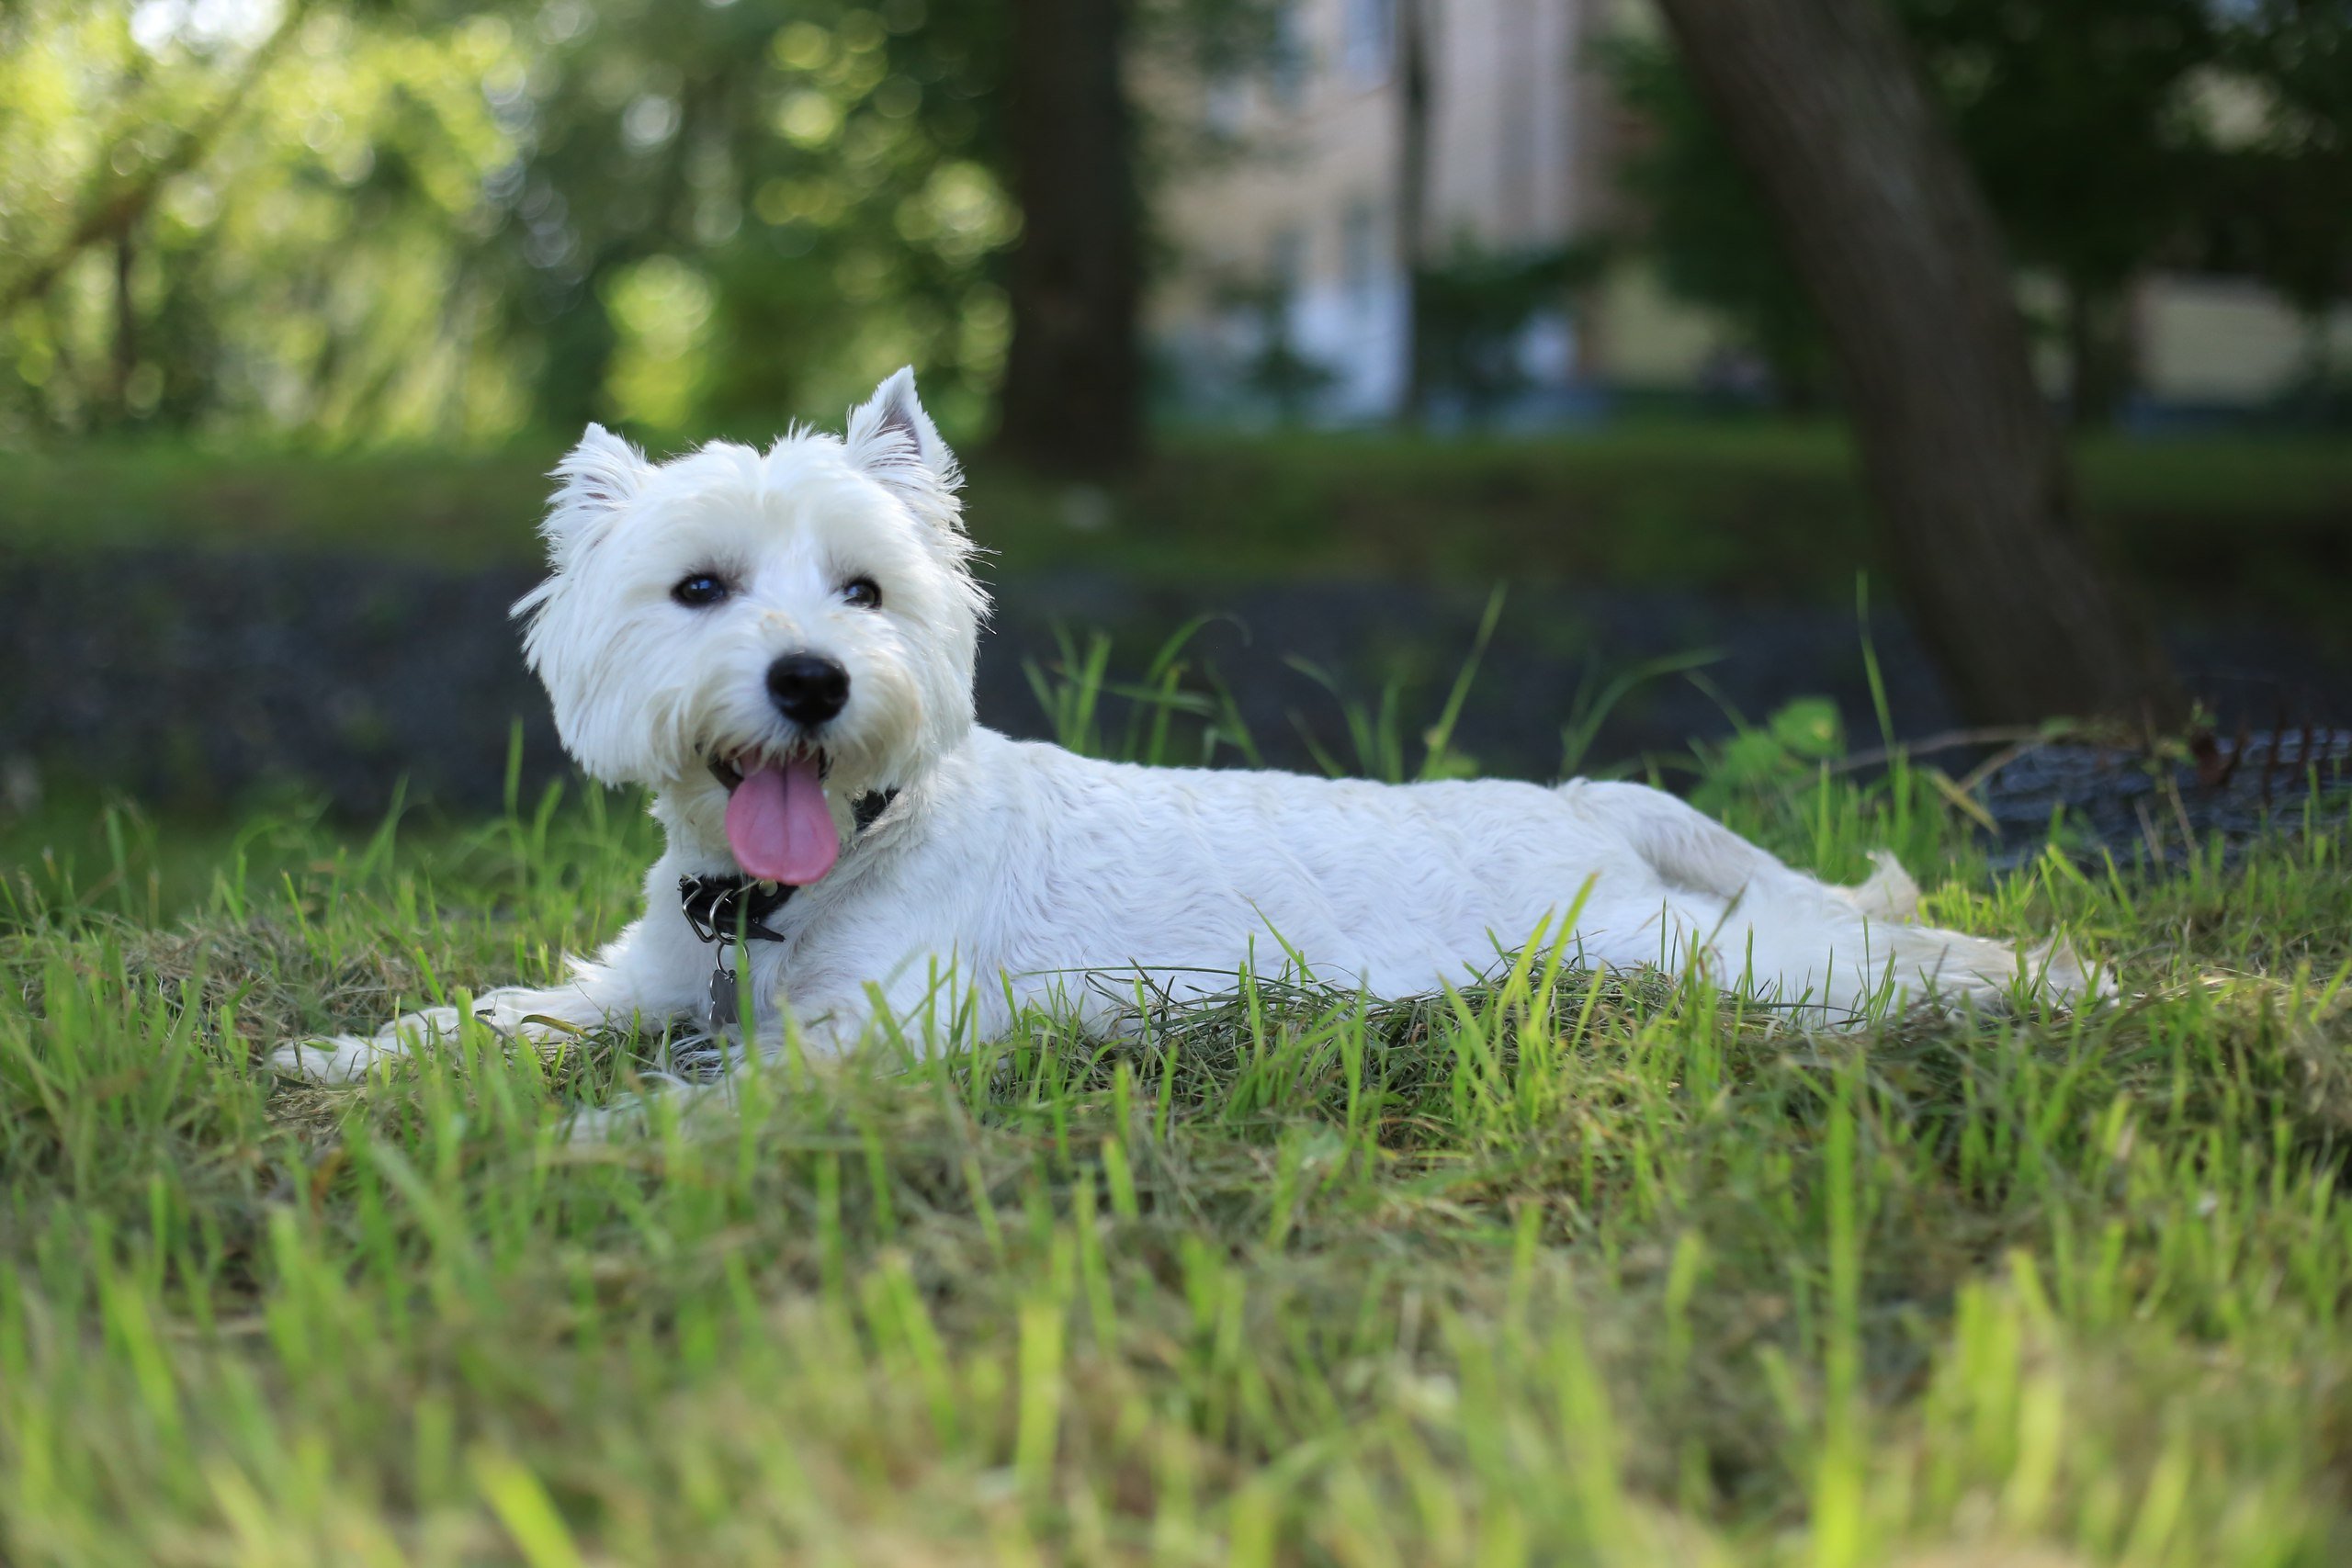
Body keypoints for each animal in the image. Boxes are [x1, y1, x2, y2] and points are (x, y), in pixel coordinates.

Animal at [270, 368, 2098, 1086]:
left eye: (863, 590)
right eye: (701, 587)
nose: (809, 683)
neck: (801, 889)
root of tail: (1587, 799)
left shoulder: (888, 1032)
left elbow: (717, 1094)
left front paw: (613, 1140)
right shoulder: (645, 976)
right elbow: (499, 1015)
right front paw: (336, 1057)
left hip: (1680, 948)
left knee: (1897, 960)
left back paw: (2102, 980)